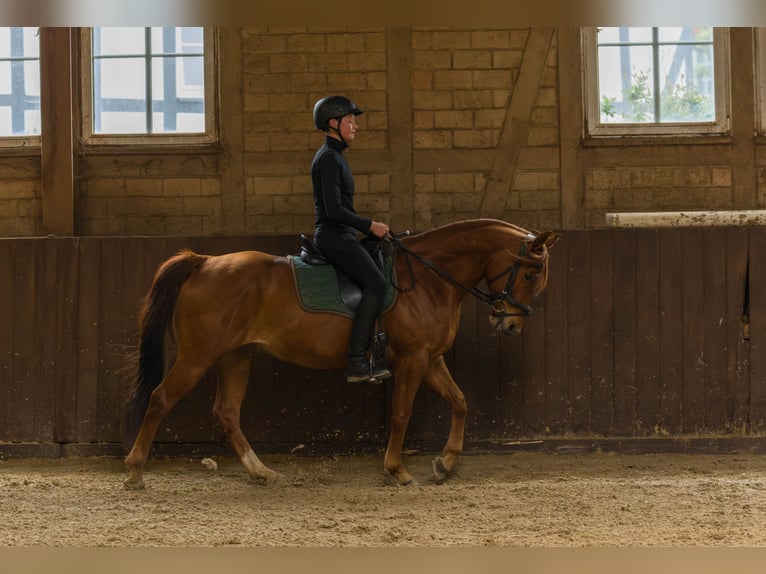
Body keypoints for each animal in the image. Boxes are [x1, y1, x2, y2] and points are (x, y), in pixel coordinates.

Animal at [123, 220, 560, 490]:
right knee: (160, 400)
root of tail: (204, 262)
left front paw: (446, 463)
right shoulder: (413, 359)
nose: (510, 325)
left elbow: (460, 401)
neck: (428, 278)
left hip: (236, 357)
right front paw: (397, 470)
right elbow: (400, 413)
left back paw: (261, 472)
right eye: (530, 273)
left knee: (227, 413)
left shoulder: (431, 359)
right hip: (197, 358)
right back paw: (135, 472)